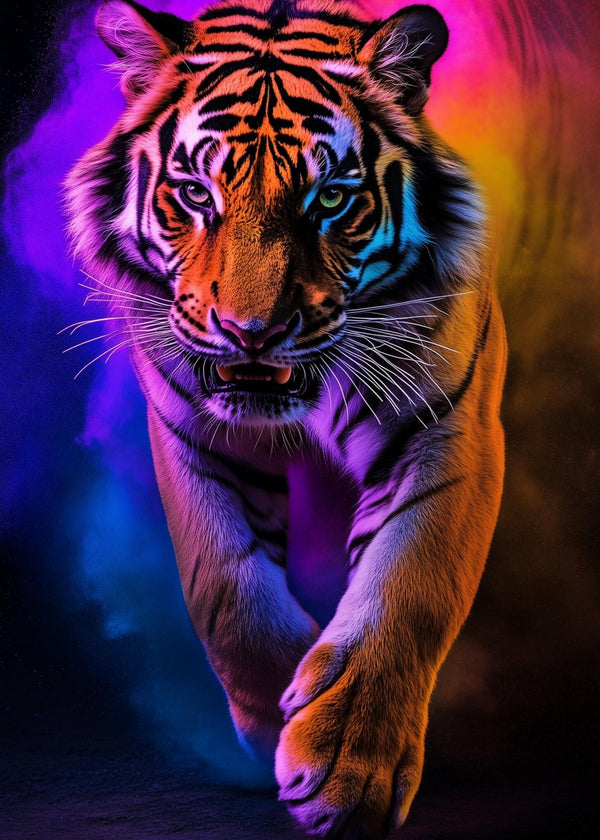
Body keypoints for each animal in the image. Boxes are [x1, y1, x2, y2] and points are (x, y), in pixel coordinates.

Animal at [65, 0, 506, 836]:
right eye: (194, 194)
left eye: (330, 199)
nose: (252, 332)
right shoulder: (192, 434)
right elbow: (226, 588)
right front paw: (275, 722)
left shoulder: (446, 427)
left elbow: (408, 586)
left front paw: (344, 768)